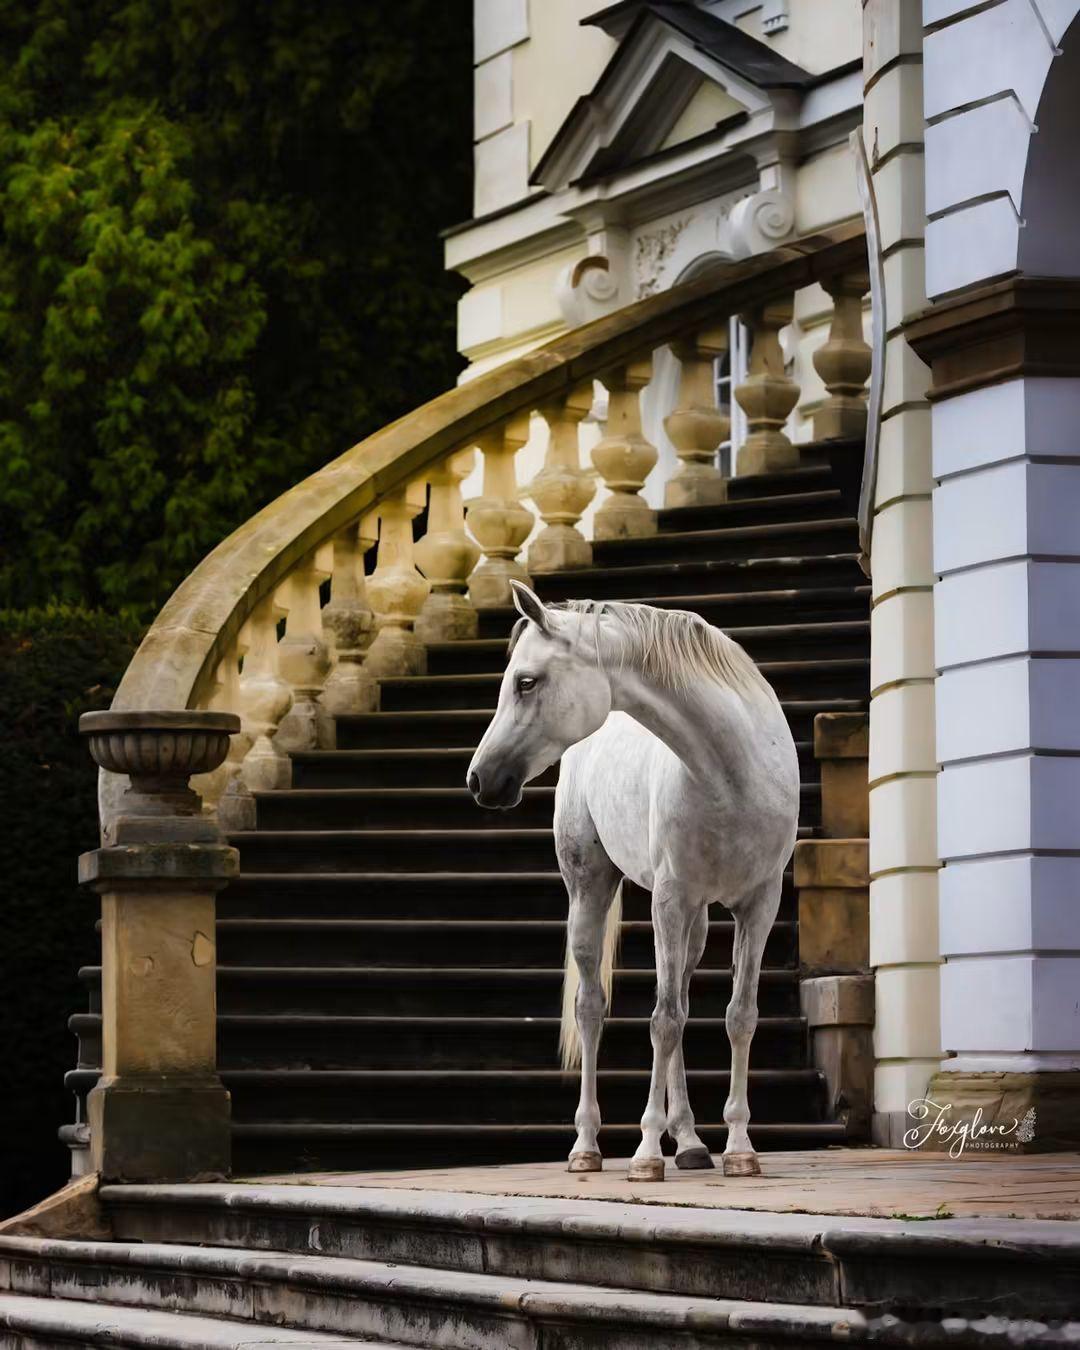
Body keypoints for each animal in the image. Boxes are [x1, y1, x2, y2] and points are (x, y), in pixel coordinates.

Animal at [467, 580, 800, 1181]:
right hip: (590, 891)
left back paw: (690, 1143)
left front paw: (740, 1149)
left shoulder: (759, 904)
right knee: (593, 1008)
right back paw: (587, 1147)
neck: (734, 774)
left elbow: (738, 1016)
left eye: (526, 681)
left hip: (697, 923)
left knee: (683, 998)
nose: (479, 779)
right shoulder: (670, 900)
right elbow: (662, 1021)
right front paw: (646, 1154)